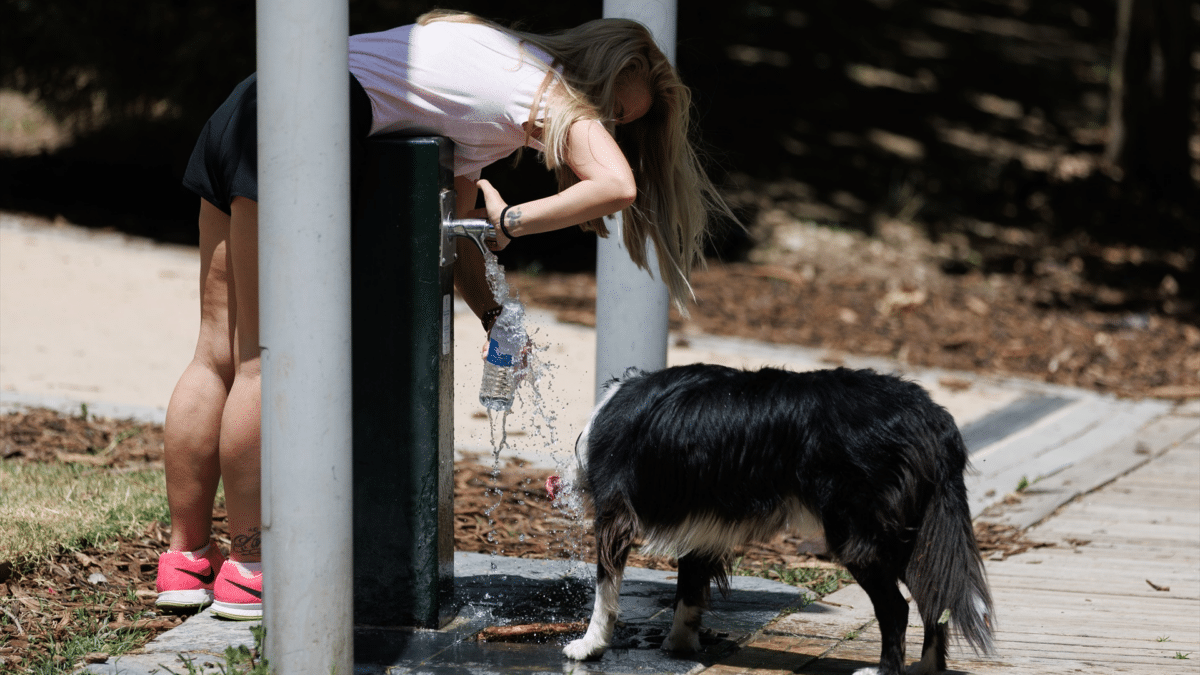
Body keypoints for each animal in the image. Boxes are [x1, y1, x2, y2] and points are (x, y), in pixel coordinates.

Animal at [559, 365, 993, 667]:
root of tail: (931, 416)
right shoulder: (702, 527)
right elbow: (689, 590)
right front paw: (679, 645)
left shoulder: (615, 516)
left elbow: (605, 590)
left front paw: (589, 646)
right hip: (914, 535)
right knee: (936, 602)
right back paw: (926, 669)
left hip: (858, 535)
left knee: (898, 610)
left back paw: (884, 671)